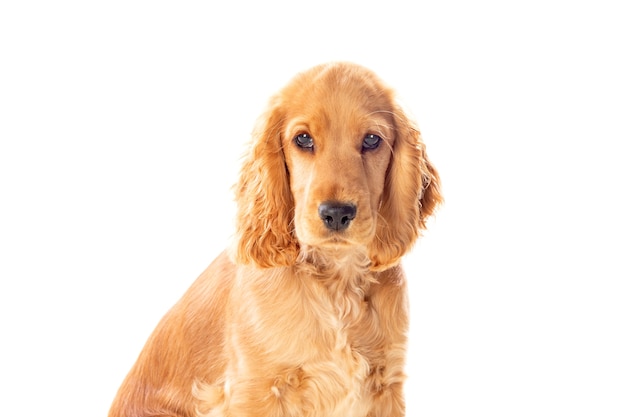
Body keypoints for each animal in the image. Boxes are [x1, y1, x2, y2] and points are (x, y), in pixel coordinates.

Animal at [108, 61, 438, 416]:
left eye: (372, 140)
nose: (336, 213)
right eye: (303, 139)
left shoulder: (386, 385)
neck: (337, 284)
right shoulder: (256, 388)